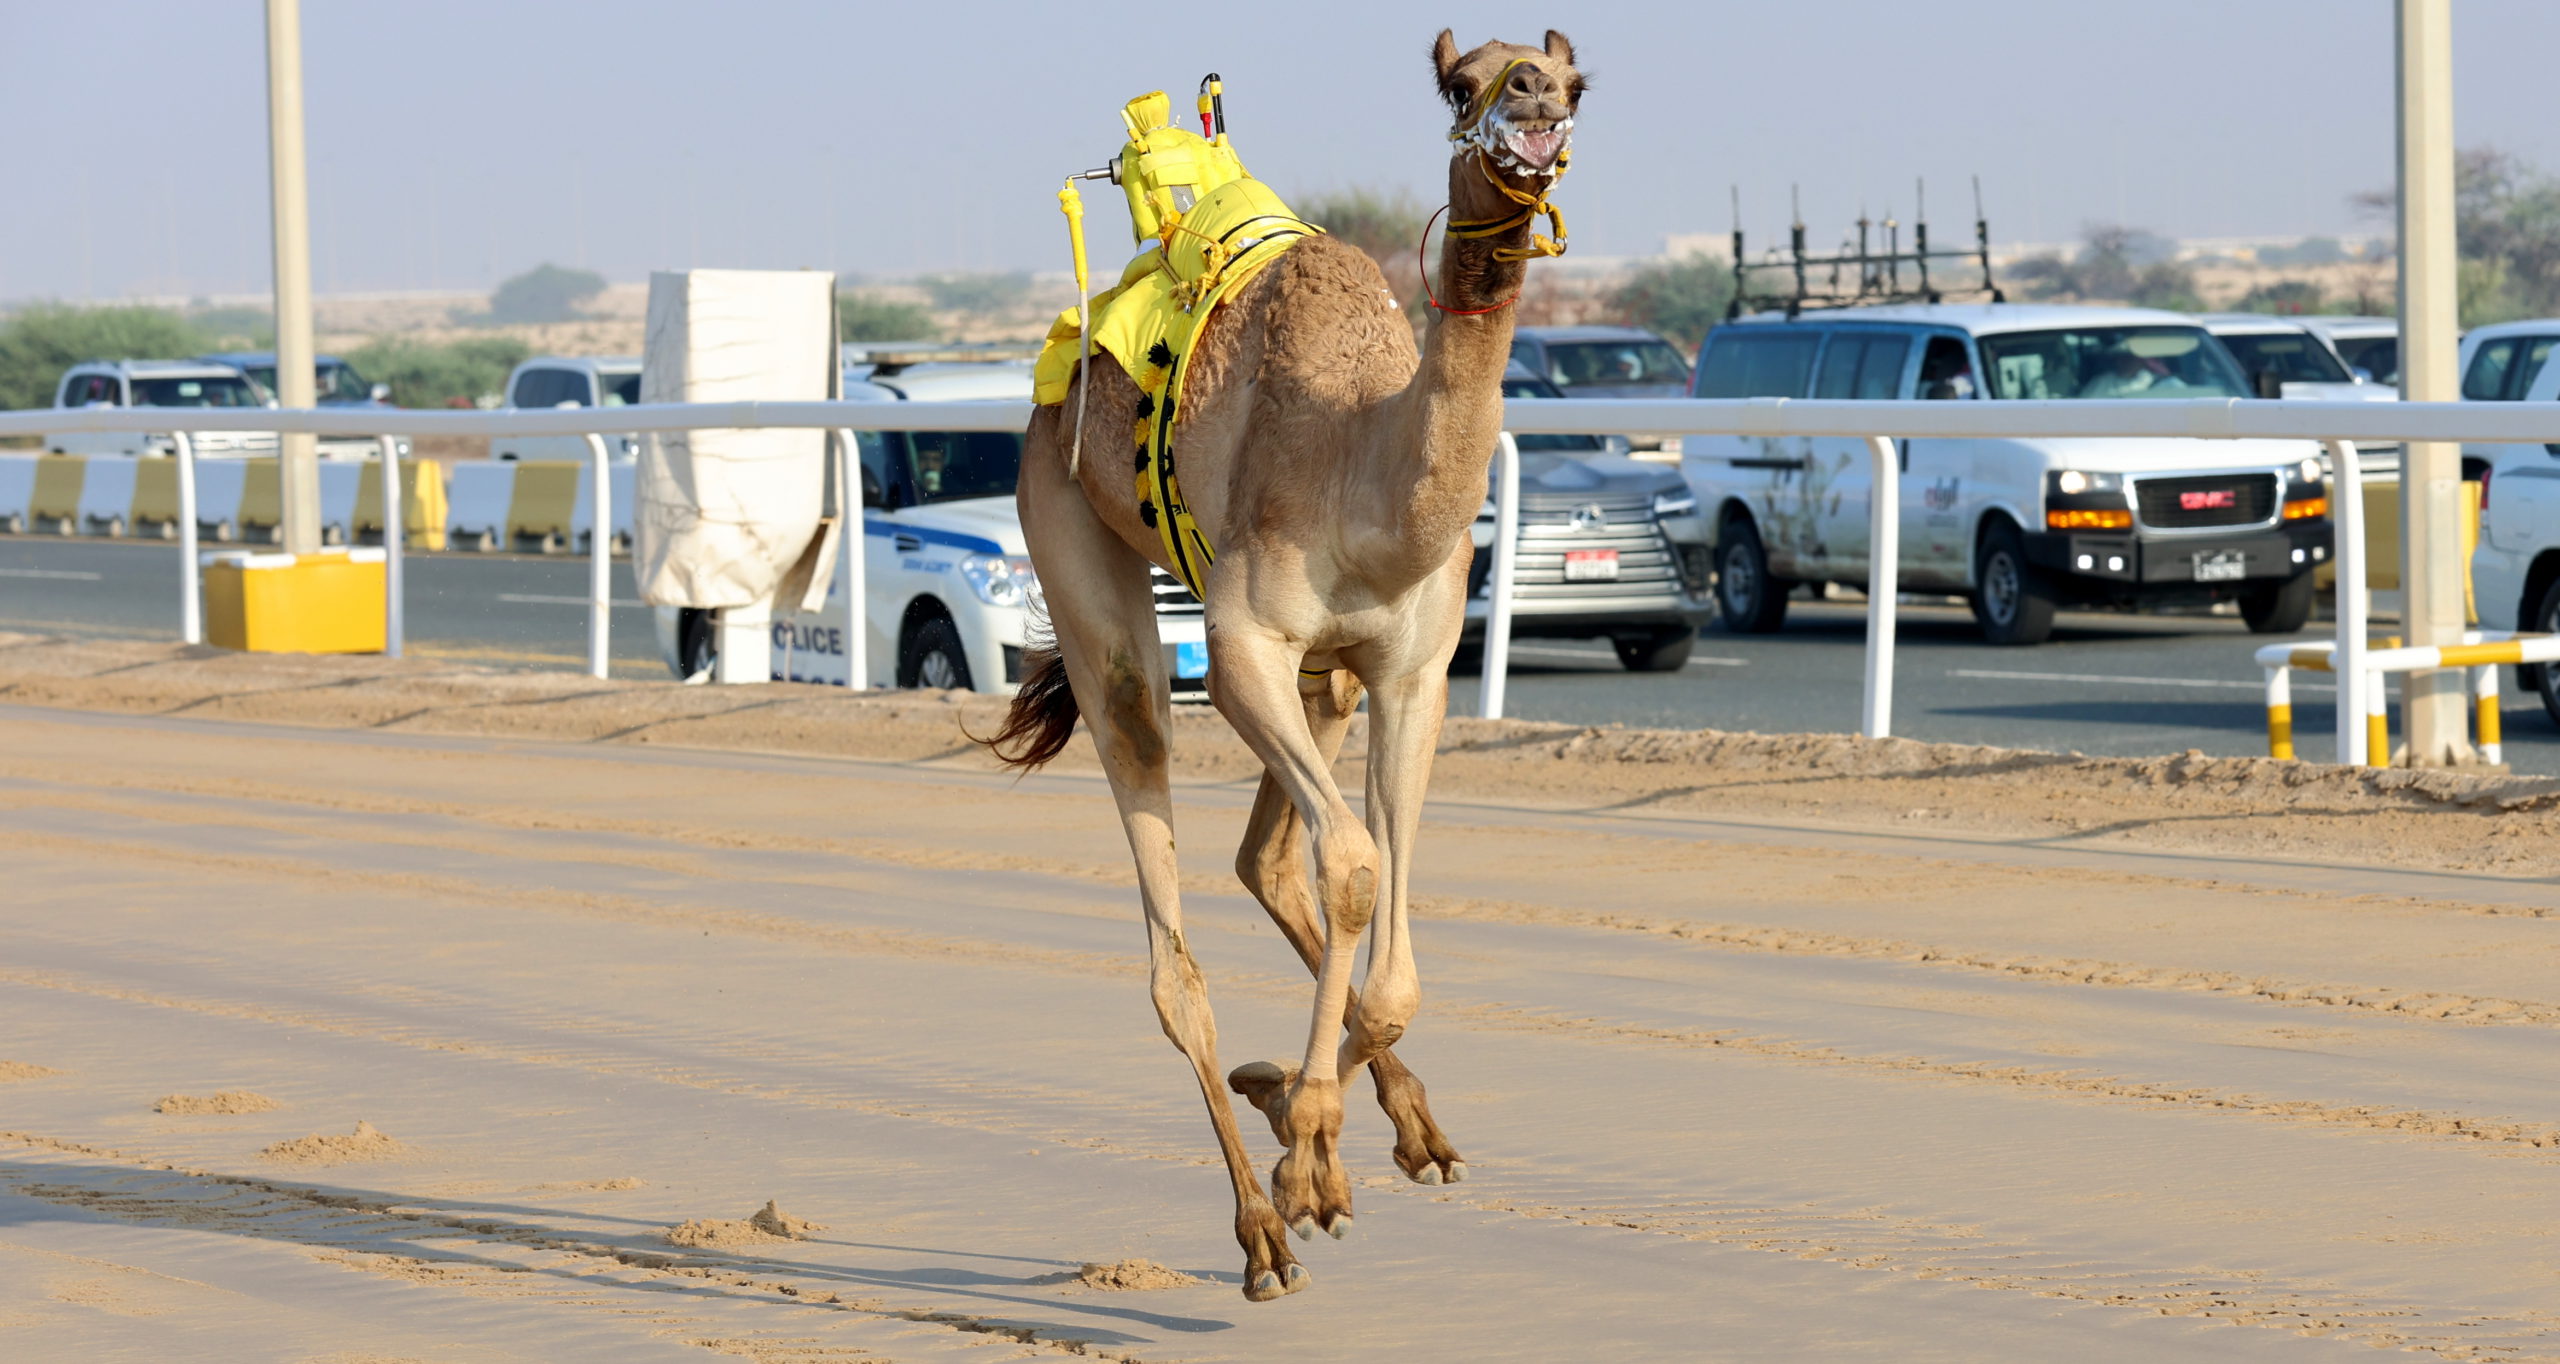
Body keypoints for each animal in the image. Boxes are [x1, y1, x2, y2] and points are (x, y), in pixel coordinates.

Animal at [993, 26, 1576, 1289]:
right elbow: (1353, 867)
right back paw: (1261, 1228)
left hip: (1330, 682)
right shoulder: (1242, 644)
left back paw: (1387, 1126)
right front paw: (1302, 1154)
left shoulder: (1408, 669)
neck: (1369, 469)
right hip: (1071, 533)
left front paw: (1307, 1117)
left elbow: (1387, 951)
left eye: (1573, 81)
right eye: (1464, 83)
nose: (1534, 102)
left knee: (1267, 858)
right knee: (1171, 921)